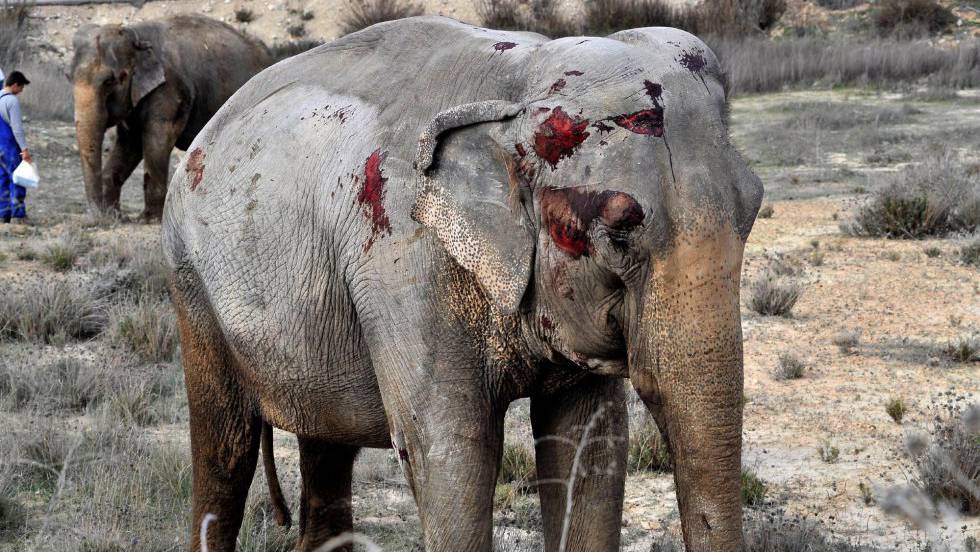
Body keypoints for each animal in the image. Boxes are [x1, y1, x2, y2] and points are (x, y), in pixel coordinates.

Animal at [71, 15, 272, 221]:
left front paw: (148, 219)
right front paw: (117, 216)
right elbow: (128, 145)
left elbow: (156, 142)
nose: (100, 219)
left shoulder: (169, 90)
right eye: (69, 76)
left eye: (108, 81)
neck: (136, 34)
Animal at [162, 16, 763, 552]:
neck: (518, 83)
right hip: (189, 280)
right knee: (225, 448)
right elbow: (452, 452)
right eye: (618, 232)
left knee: (327, 445)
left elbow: (587, 445)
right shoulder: (404, 263)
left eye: (754, 206)